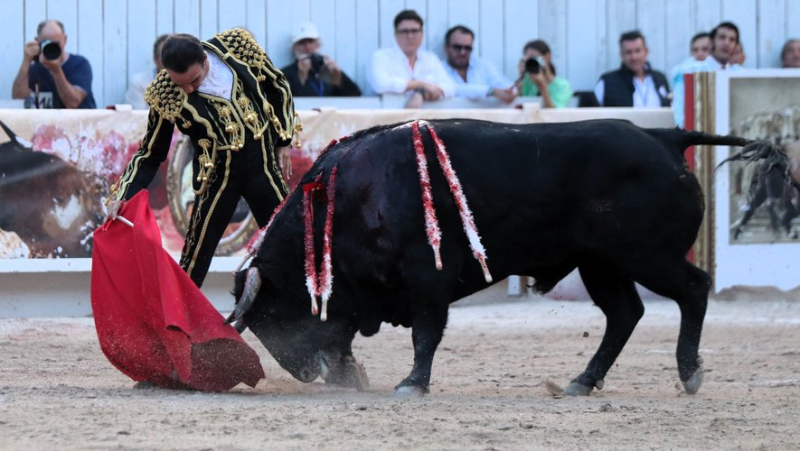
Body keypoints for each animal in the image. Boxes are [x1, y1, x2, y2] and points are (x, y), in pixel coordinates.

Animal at [228, 118, 752, 398]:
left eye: (270, 316)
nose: (304, 374)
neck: (351, 197)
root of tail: (663, 136)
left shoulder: (428, 280)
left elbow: (425, 334)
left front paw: (412, 384)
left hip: (646, 256)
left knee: (693, 288)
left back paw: (689, 373)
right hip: (600, 264)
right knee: (625, 314)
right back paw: (582, 381)